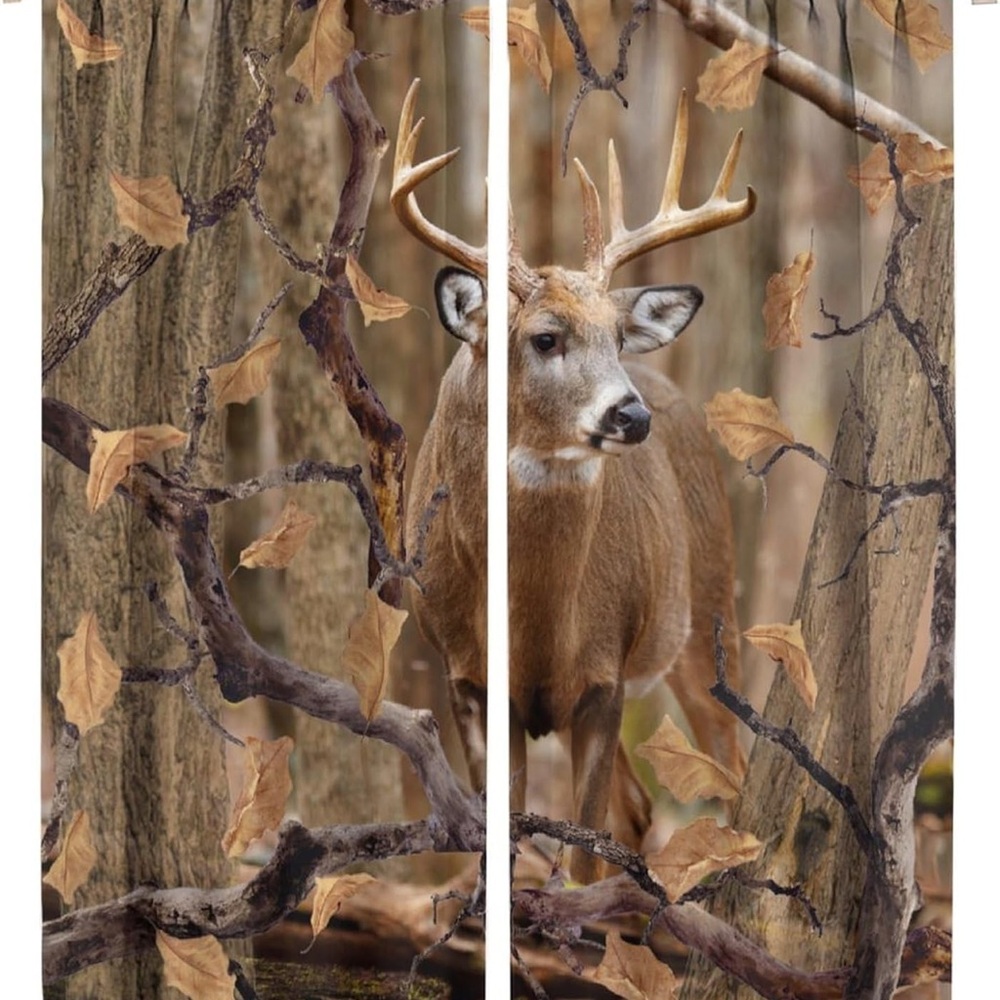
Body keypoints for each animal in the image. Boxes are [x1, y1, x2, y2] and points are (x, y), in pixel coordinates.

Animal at [392, 79, 754, 882]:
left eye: (617, 337)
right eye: (545, 337)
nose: (630, 413)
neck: (536, 626)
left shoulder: (604, 677)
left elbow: (585, 857)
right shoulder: (469, 678)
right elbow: (505, 846)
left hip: (708, 613)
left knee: (734, 771)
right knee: (642, 807)